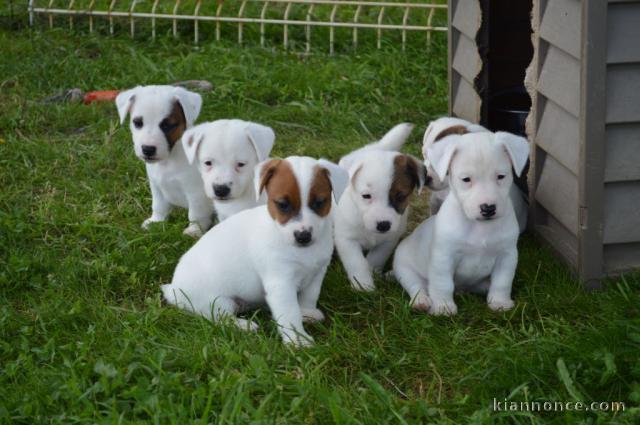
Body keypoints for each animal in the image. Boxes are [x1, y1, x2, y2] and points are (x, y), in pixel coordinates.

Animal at [116, 84, 214, 237]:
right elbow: (158, 206)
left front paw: (194, 231)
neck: (168, 161)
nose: (148, 149)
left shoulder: (196, 193)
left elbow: (195, 215)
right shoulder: (156, 187)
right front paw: (155, 222)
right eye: (137, 123)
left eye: (167, 125)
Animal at [162, 154, 348, 346]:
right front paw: (297, 340)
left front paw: (307, 313)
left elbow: (309, 296)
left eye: (319, 203)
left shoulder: (317, 273)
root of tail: (173, 289)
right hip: (216, 301)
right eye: (282, 204)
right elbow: (290, 313)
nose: (303, 236)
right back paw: (245, 325)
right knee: (219, 318)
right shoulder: (281, 283)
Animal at [332, 121, 428, 290]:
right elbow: (357, 263)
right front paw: (363, 286)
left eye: (401, 196)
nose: (383, 225)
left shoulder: (389, 240)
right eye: (366, 196)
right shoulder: (346, 239)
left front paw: (372, 272)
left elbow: (376, 257)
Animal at [396, 131, 528, 314]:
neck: (480, 227)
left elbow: (502, 282)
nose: (488, 208)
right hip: (405, 270)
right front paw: (443, 306)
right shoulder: (443, 258)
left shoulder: (507, 256)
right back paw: (422, 301)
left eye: (501, 176)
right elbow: (443, 283)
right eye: (466, 179)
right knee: (417, 286)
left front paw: (499, 302)